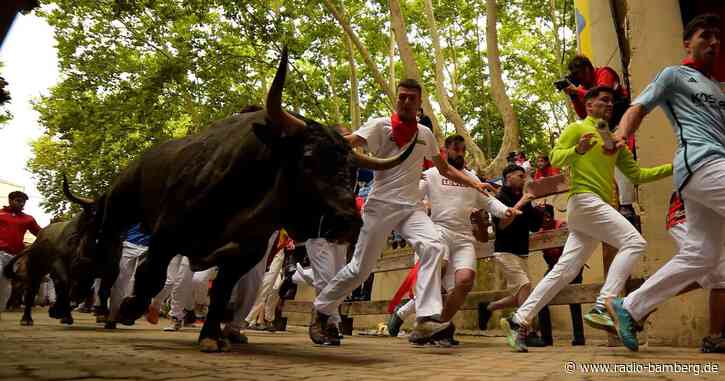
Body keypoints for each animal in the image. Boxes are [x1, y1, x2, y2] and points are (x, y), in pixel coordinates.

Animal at [76, 47, 416, 350]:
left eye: (353, 171)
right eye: (307, 157)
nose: (348, 221)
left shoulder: (245, 254)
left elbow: (221, 293)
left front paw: (212, 335)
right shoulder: (166, 235)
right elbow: (152, 274)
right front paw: (131, 307)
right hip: (119, 207)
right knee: (109, 252)